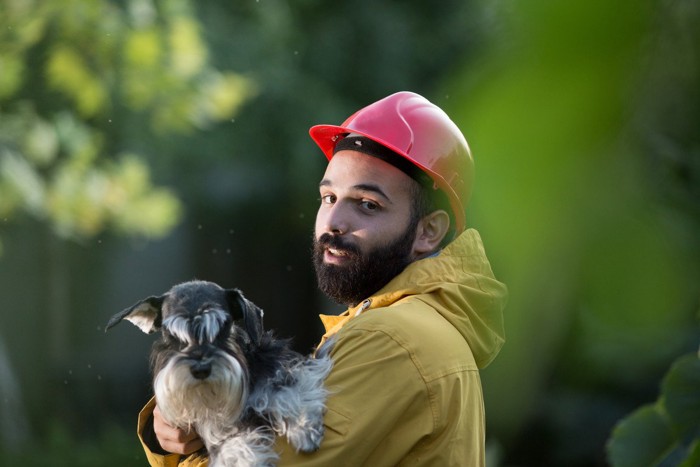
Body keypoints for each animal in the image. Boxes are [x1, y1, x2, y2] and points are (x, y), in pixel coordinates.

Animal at [106, 280, 334, 466]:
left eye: (222, 327)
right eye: (173, 336)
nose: (201, 369)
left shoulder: (280, 366)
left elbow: (286, 390)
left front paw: (304, 429)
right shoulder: (218, 432)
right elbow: (235, 448)